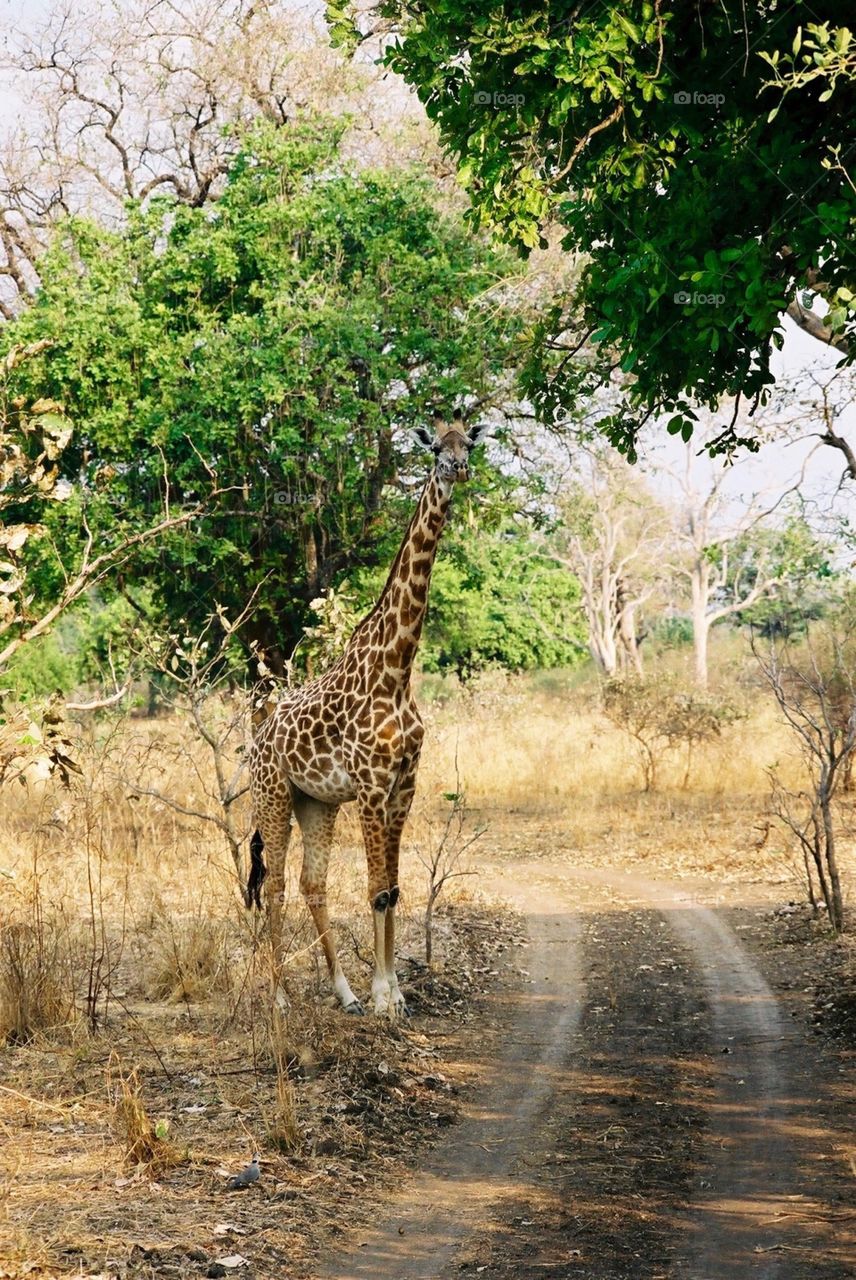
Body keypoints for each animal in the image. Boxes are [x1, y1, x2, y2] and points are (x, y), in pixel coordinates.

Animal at [246, 414, 486, 1013]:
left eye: (468, 444)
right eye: (435, 447)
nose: (457, 469)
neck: (398, 668)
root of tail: (257, 736)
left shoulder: (404, 784)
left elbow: (394, 888)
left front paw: (391, 992)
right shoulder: (374, 786)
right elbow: (377, 889)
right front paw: (383, 997)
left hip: (316, 802)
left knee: (312, 883)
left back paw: (343, 993)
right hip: (273, 794)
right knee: (275, 884)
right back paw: (280, 996)